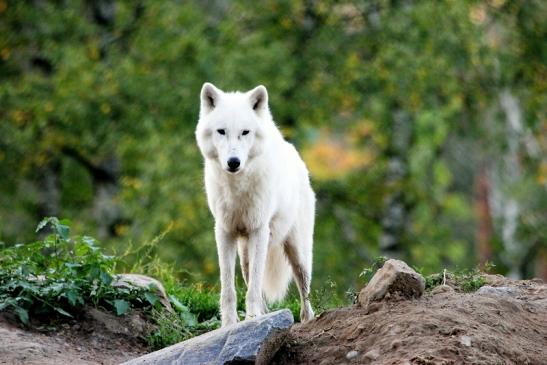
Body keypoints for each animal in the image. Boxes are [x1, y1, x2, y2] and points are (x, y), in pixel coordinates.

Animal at [197, 83, 316, 328]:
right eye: (221, 131)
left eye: (245, 132)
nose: (233, 162)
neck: (237, 188)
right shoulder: (224, 231)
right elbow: (229, 290)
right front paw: (229, 325)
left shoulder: (259, 230)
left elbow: (252, 290)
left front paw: (251, 320)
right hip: (244, 255)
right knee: (254, 281)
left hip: (297, 251)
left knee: (303, 288)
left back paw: (307, 319)